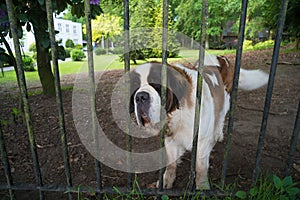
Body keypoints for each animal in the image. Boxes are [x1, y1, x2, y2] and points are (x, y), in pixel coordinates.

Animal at [127, 54, 268, 189]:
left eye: (156, 84)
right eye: (135, 88)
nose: (140, 96)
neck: (179, 112)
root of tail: (220, 57)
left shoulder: (202, 142)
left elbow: (200, 168)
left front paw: (202, 187)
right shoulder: (170, 140)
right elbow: (171, 163)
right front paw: (166, 181)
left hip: (226, 100)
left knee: (220, 116)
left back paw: (218, 134)